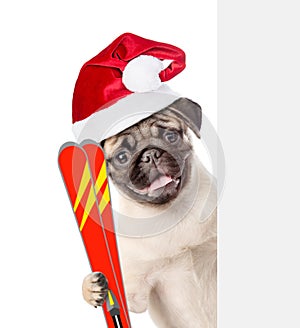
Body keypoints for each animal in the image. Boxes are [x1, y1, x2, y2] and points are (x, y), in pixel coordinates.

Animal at [83, 98, 217, 328]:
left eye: (170, 137)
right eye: (122, 157)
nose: (150, 154)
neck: (172, 212)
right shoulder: (136, 292)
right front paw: (90, 288)